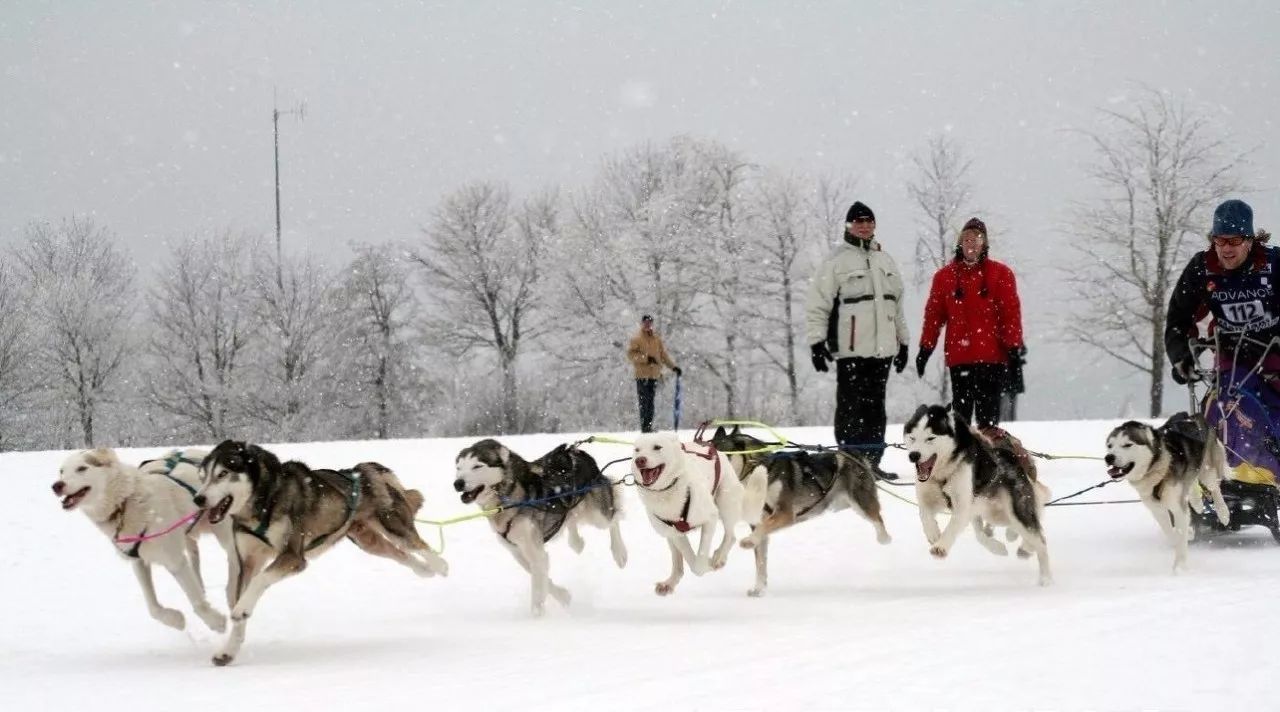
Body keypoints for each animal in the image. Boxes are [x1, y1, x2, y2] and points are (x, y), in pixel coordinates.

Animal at [53, 448, 235, 637]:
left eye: (82, 468)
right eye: (61, 471)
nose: (56, 485)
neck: (124, 504)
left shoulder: (174, 561)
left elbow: (197, 602)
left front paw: (216, 622)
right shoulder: (138, 562)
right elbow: (153, 608)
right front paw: (175, 619)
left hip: (223, 532)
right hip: (189, 534)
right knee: (195, 562)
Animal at [627, 432, 762, 594]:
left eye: (657, 447)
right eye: (637, 450)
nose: (639, 460)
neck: (667, 492)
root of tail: (715, 449)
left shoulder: (710, 518)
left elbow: (699, 562)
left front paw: (707, 564)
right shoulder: (675, 533)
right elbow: (690, 558)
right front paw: (702, 564)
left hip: (725, 503)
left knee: (731, 536)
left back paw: (718, 558)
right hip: (668, 535)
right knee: (677, 562)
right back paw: (670, 582)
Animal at [901, 402, 1049, 586]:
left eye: (931, 438)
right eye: (913, 438)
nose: (914, 455)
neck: (942, 475)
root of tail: (1011, 457)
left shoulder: (963, 505)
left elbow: (952, 527)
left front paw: (941, 546)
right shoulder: (928, 498)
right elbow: (925, 515)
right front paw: (934, 533)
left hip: (1014, 510)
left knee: (1039, 539)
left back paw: (1045, 577)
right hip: (992, 513)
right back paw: (1011, 547)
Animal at [1105, 412, 1233, 573]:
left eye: (1127, 445)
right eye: (1110, 446)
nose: (1108, 457)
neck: (1157, 467)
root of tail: (1194, 416)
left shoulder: (1177, 508)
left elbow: (1180, 532)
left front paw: (1179, 568)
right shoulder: (1157, 510)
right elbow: (1171, 534)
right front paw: (1188, 534)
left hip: (1207, 470)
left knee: (1215, 488)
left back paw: (1223, 513)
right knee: (1192, 483)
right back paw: (1197, 502)